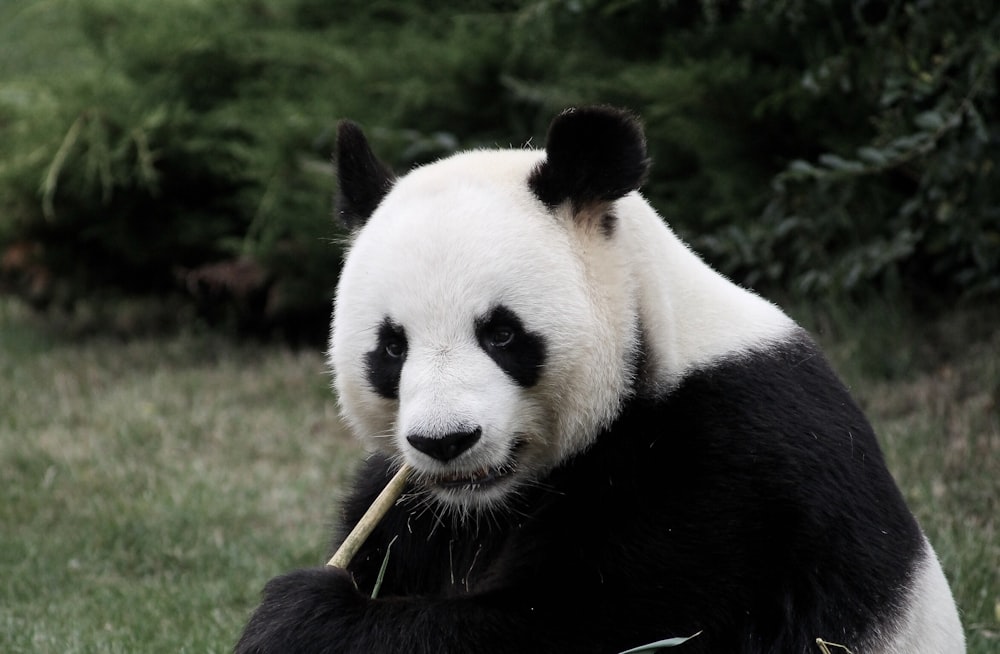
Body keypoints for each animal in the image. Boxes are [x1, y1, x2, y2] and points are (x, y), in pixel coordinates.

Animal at [236, 105, 968, 652]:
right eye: (392, 348)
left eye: (501, 334)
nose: (446, 441)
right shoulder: (415, 505)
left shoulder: (724, 471)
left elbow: (588, 626)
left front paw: (299, 617)